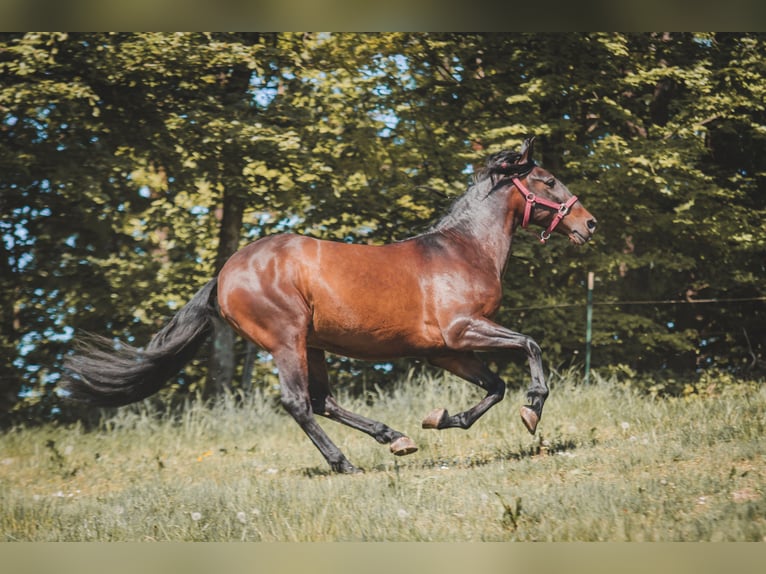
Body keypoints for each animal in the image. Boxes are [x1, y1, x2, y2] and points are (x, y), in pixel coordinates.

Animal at [63, 136, 596, 476]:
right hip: (286, 340)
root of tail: (224, 275)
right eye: (548, 180)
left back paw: (396, 438)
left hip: (312, 344)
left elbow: (495, 386)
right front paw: (533, 409)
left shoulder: (444, 350)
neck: (462, 250)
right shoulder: (463, 330)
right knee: (299, 404)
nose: (588, 224)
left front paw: (441, 419)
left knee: (322, 401)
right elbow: (529, 345)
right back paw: (345, 463)